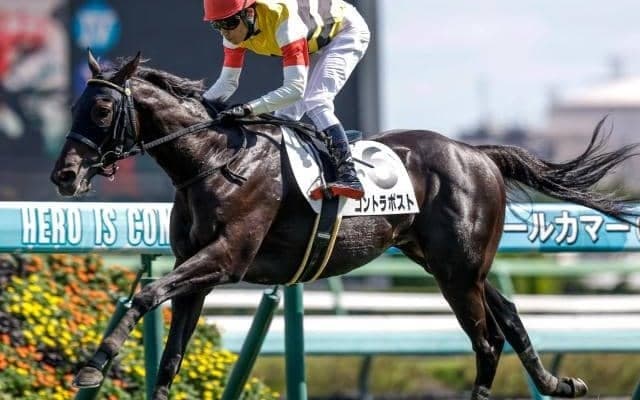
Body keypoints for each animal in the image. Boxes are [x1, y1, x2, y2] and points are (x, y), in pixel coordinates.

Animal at [50, 52, 638, 400]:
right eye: (76, 104)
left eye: (101, 110)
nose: (64, 174)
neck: (215, 159)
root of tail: (477, 153)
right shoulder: (196, 272)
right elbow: (170, 355)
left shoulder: (226, 259)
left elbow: (146, 294)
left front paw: (93, 365)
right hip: (451, 265)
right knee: (510, 317)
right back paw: (559, 382)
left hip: (457, 270)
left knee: (487, 339)